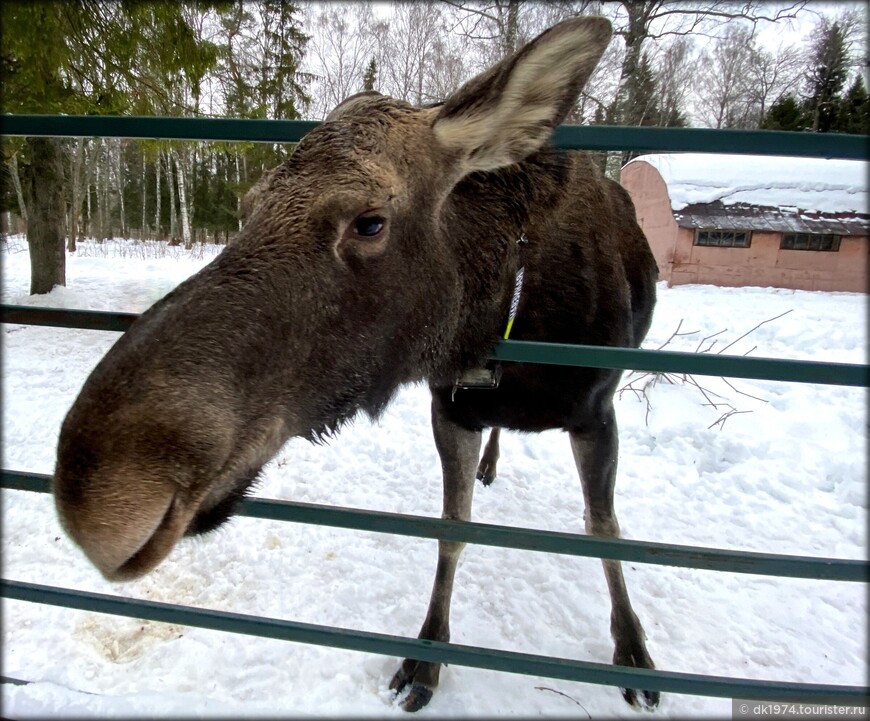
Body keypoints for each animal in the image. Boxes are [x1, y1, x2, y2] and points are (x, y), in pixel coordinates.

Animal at [52, 15, 660, 708]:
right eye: (248, 206)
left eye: (369, 222)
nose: (102, 499)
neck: (510, 313)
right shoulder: (452, 408)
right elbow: (452, 532)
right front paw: (426, 657)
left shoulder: (596, 412)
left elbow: (605, 529)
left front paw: (633, 651)